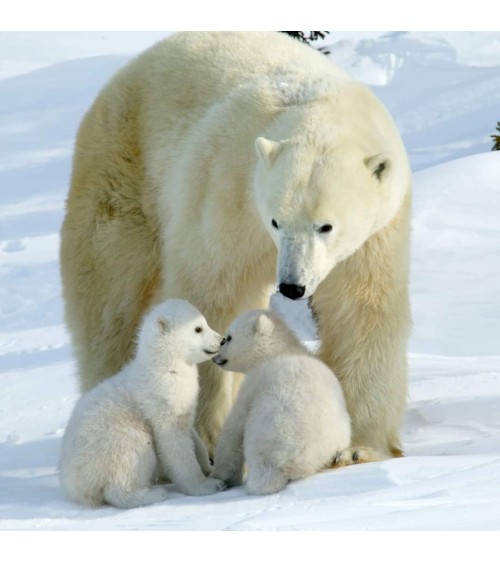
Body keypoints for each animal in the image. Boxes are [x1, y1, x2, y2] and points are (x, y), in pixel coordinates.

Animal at [57, 300, 226, 512]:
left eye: (204, 322)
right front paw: (206, 485)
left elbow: (192, 435)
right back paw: (152, 494)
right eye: (198, 328)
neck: (164, 366)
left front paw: (209, 467)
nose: (222, 340)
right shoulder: (160, 400)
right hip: (113, 441)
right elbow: (173, 442)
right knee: (130, 458)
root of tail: (73, 485)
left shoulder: (183, 402)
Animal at [59, 29, 410, 462]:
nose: (292, 286)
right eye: (276, 220)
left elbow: (361, 310)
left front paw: (359, 446)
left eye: (325, 226)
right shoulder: (229, 191)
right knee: (111, 302)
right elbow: (213, 294)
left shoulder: (376, 233)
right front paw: (208, 437)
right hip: (123, 170)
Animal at [211, 310, 352, 496]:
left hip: (269, 436)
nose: (215, 357)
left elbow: (234, 429)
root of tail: (296, 465)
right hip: (339, 432)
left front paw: (220, 476)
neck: (281, 350)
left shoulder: (255, 382)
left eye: (228, 338)